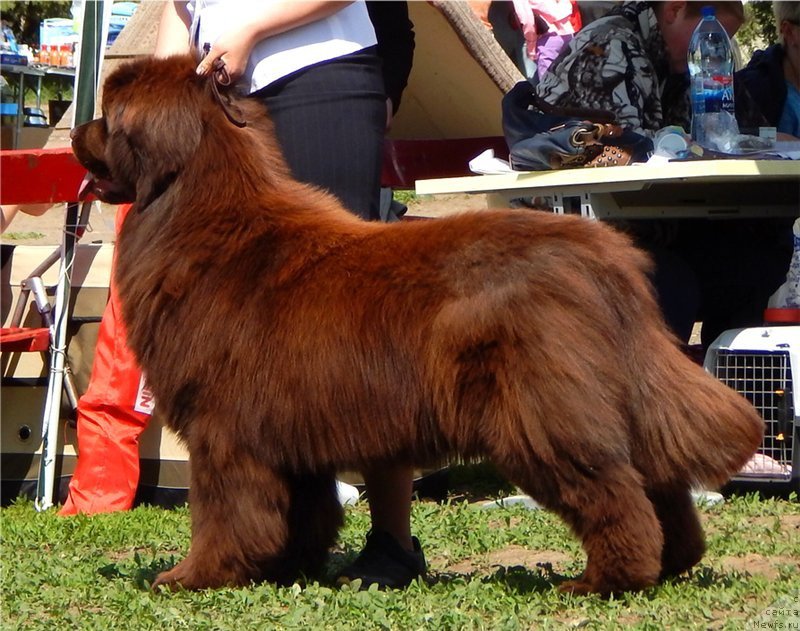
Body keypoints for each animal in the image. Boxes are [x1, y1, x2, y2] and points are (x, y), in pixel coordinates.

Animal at [70, 55, 764, 596]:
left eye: (110, 115)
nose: (76, 129)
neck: (200, 208)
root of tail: (604, 257)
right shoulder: (290, 428)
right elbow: (303, 512)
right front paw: (287, 567)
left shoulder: (225, 430)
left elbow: (224, 513)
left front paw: (195, 576)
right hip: (616, 394)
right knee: (660, 481)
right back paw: (671, 565)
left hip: (540, 413)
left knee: (614, 490)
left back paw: (604, 581)